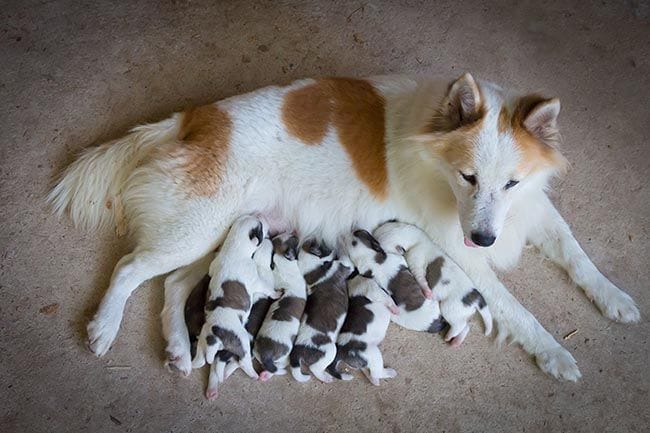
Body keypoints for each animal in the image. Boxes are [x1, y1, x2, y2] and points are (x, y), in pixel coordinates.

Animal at [190, 215, 276, 374]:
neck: (234, 247)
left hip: (202, 341)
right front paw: (276, 293)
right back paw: (254, 374)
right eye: (261, 226)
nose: (264, 218)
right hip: (241, 340)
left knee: (200, 359)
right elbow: (267, 288)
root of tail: (214, 336)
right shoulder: (256, 281)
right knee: (244, 361)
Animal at [252, 233, 306, 378]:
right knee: (280, 365)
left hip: (257, 352)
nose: (294, 233)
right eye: (294, 239)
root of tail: (267, 356)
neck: (283, 263)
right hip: (284, 356)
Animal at [288, 238, 352, 384]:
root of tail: (297, 350)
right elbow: (345, 258)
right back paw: (326, 377)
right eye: (325, 245)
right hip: (330, 350)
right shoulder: (343, 266)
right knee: (315, 368)